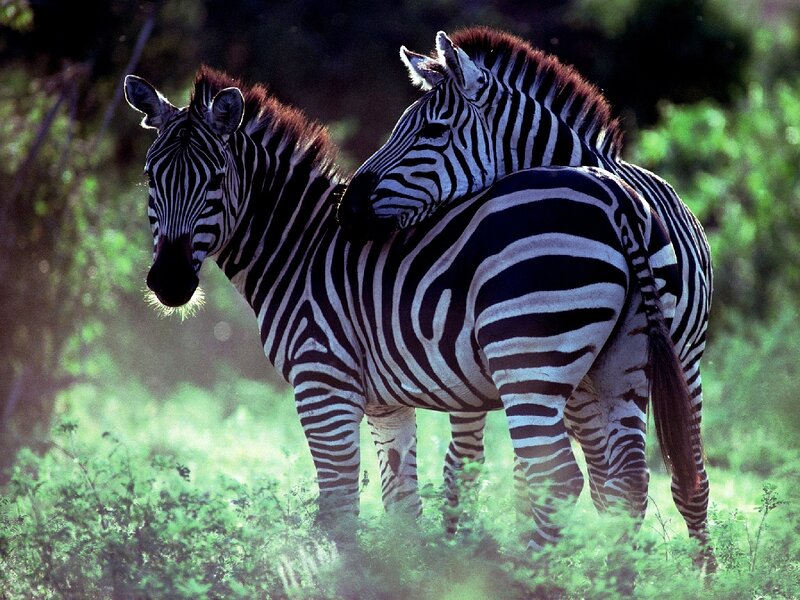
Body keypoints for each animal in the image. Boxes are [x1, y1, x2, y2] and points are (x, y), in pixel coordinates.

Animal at [124, 66, 698, 553]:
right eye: (151, 177)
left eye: (215, 179)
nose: (169, 283)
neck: (300, 249)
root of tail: (615, 196)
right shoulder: (386, 404)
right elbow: (401, 505)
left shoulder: (322, 384)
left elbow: (338, 509)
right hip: (623, 364)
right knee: (627, 482)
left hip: (529, 361)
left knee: (557, 477)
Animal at [336, 27, 713, 565]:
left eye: (432, 132)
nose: (346, 209)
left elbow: (685, 479)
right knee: (574, 474)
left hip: (674, 362)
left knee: (665, 479)